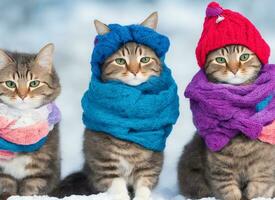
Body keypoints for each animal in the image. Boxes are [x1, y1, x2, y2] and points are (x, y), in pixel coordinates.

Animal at [0, 44, 61, 198]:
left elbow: (30, 189)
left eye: (34, 83)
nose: (22, 96)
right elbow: (6, 187)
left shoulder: (42, 170)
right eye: (10, 84)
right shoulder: (3, 173)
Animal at [178, 45, 275, 200]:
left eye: (244, 57)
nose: (234, 70)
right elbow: (229, 192)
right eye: (220, 60)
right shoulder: (220, 170)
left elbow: (258, 189)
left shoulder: (264, 167)